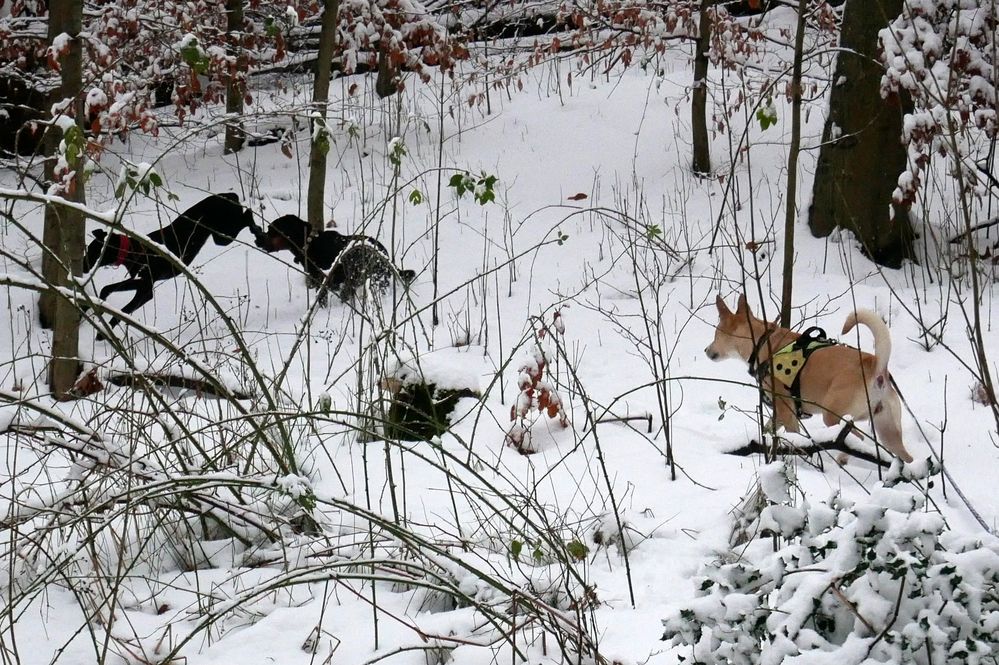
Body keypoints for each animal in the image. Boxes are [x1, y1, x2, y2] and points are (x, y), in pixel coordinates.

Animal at [83, 193, 260, 330]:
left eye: (92, 252)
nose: (83, 266)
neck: (131, 249)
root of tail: (231, 195)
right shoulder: (142, 281)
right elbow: (107, 289)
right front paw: (93, 306)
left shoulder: (146, 290)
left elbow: (124, 310)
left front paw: (103, 333)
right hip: (221, 235)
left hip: (223, 234)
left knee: (247, 216)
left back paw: (256, 228)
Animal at [258, 214, 418, 302]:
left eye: (271, 230)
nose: (258, 241)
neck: (309, 243)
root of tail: (385, 253)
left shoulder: (322, 281)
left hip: (375, 277)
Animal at [704, 296, 916, 462]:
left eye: (716, 333)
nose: (706, 350)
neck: (763, 342)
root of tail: (876, 365)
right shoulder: (779, 415)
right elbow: (768, 430)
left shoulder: (786, 411)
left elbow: (792, 438)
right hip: (887, 428)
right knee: (905, 457)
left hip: (832, 416)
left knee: (857, 439)